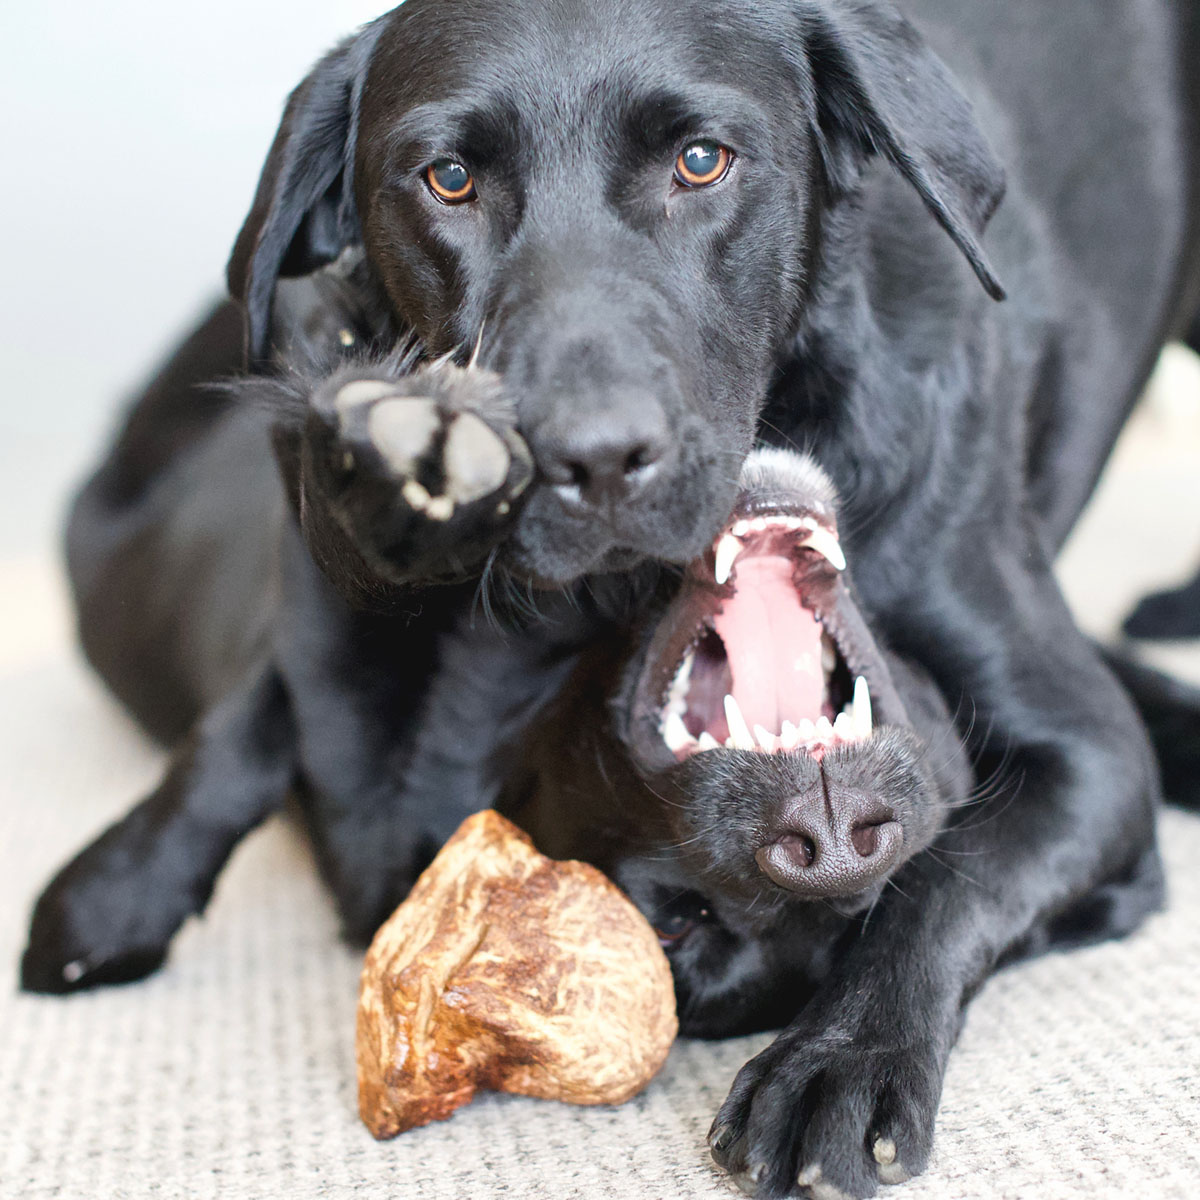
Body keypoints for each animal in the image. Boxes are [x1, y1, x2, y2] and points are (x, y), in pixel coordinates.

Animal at [18, 0, 1200, 1195]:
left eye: (703, 161)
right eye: (448, 178)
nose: (592, 458)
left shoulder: (1087, 753)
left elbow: (954, 878)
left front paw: (841, 1060)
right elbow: (282, 677)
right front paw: (117, 887)